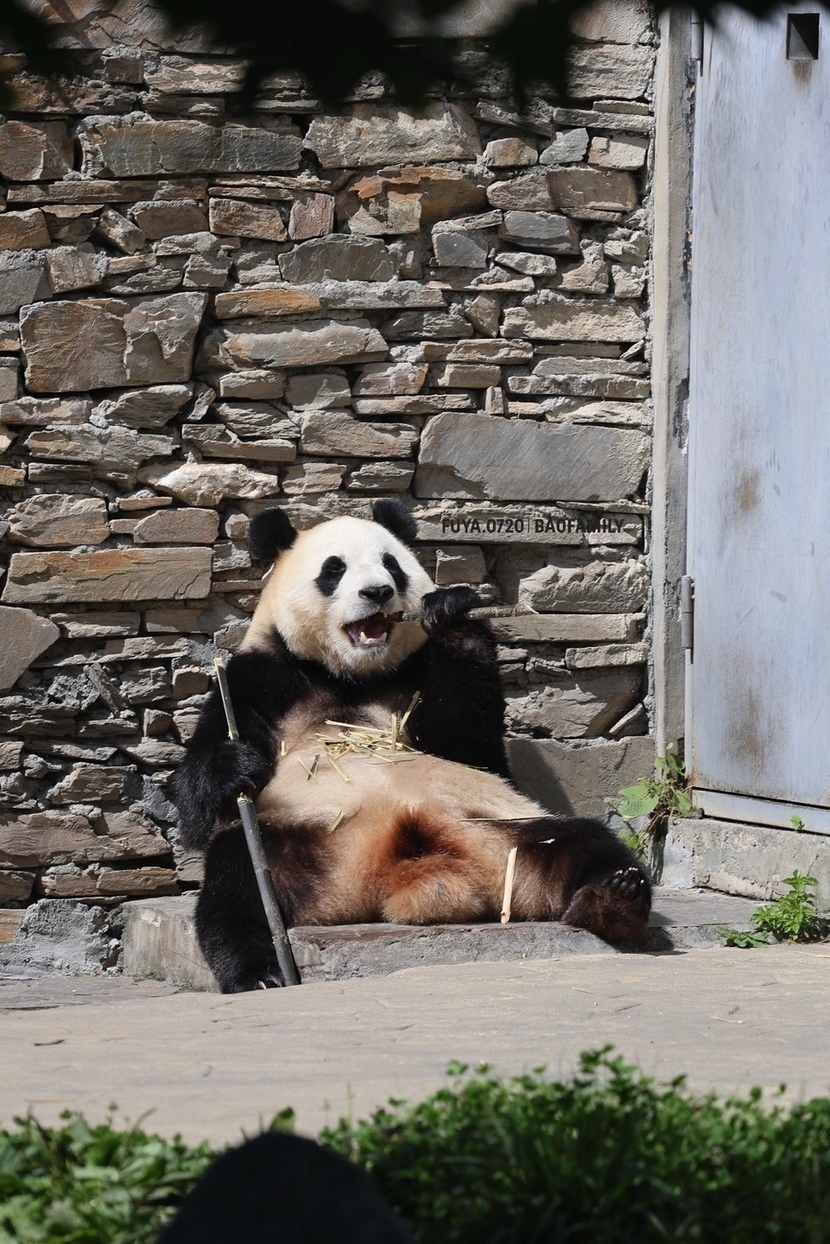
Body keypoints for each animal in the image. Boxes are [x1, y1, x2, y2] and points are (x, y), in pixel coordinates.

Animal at [173, 500, 651, 993]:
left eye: (392, 565)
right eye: (334, 569)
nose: (378, 592)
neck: (348, 674)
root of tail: (390, 875)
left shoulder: (414, 674)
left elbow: (474, 749)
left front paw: (453, 615)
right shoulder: (257, 677)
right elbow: (195, 806)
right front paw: (236, 763)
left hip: (504, 833)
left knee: (587, 841)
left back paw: (613, 899)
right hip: (303, 839)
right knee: (237, 880)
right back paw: (259, 972)